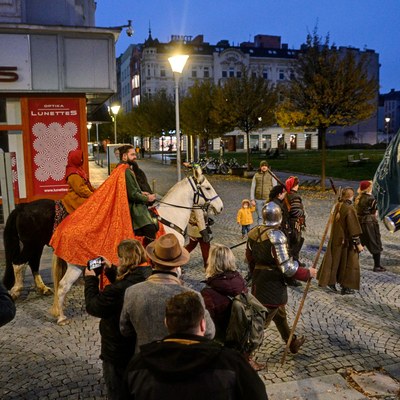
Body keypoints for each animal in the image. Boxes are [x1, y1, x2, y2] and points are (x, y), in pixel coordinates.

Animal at [48, 166, 223, 324]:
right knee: (63, 287)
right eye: (207, 187)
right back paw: (62, 318)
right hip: (76, 265)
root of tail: (61, 229)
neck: (170, 218)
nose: (220, 207)